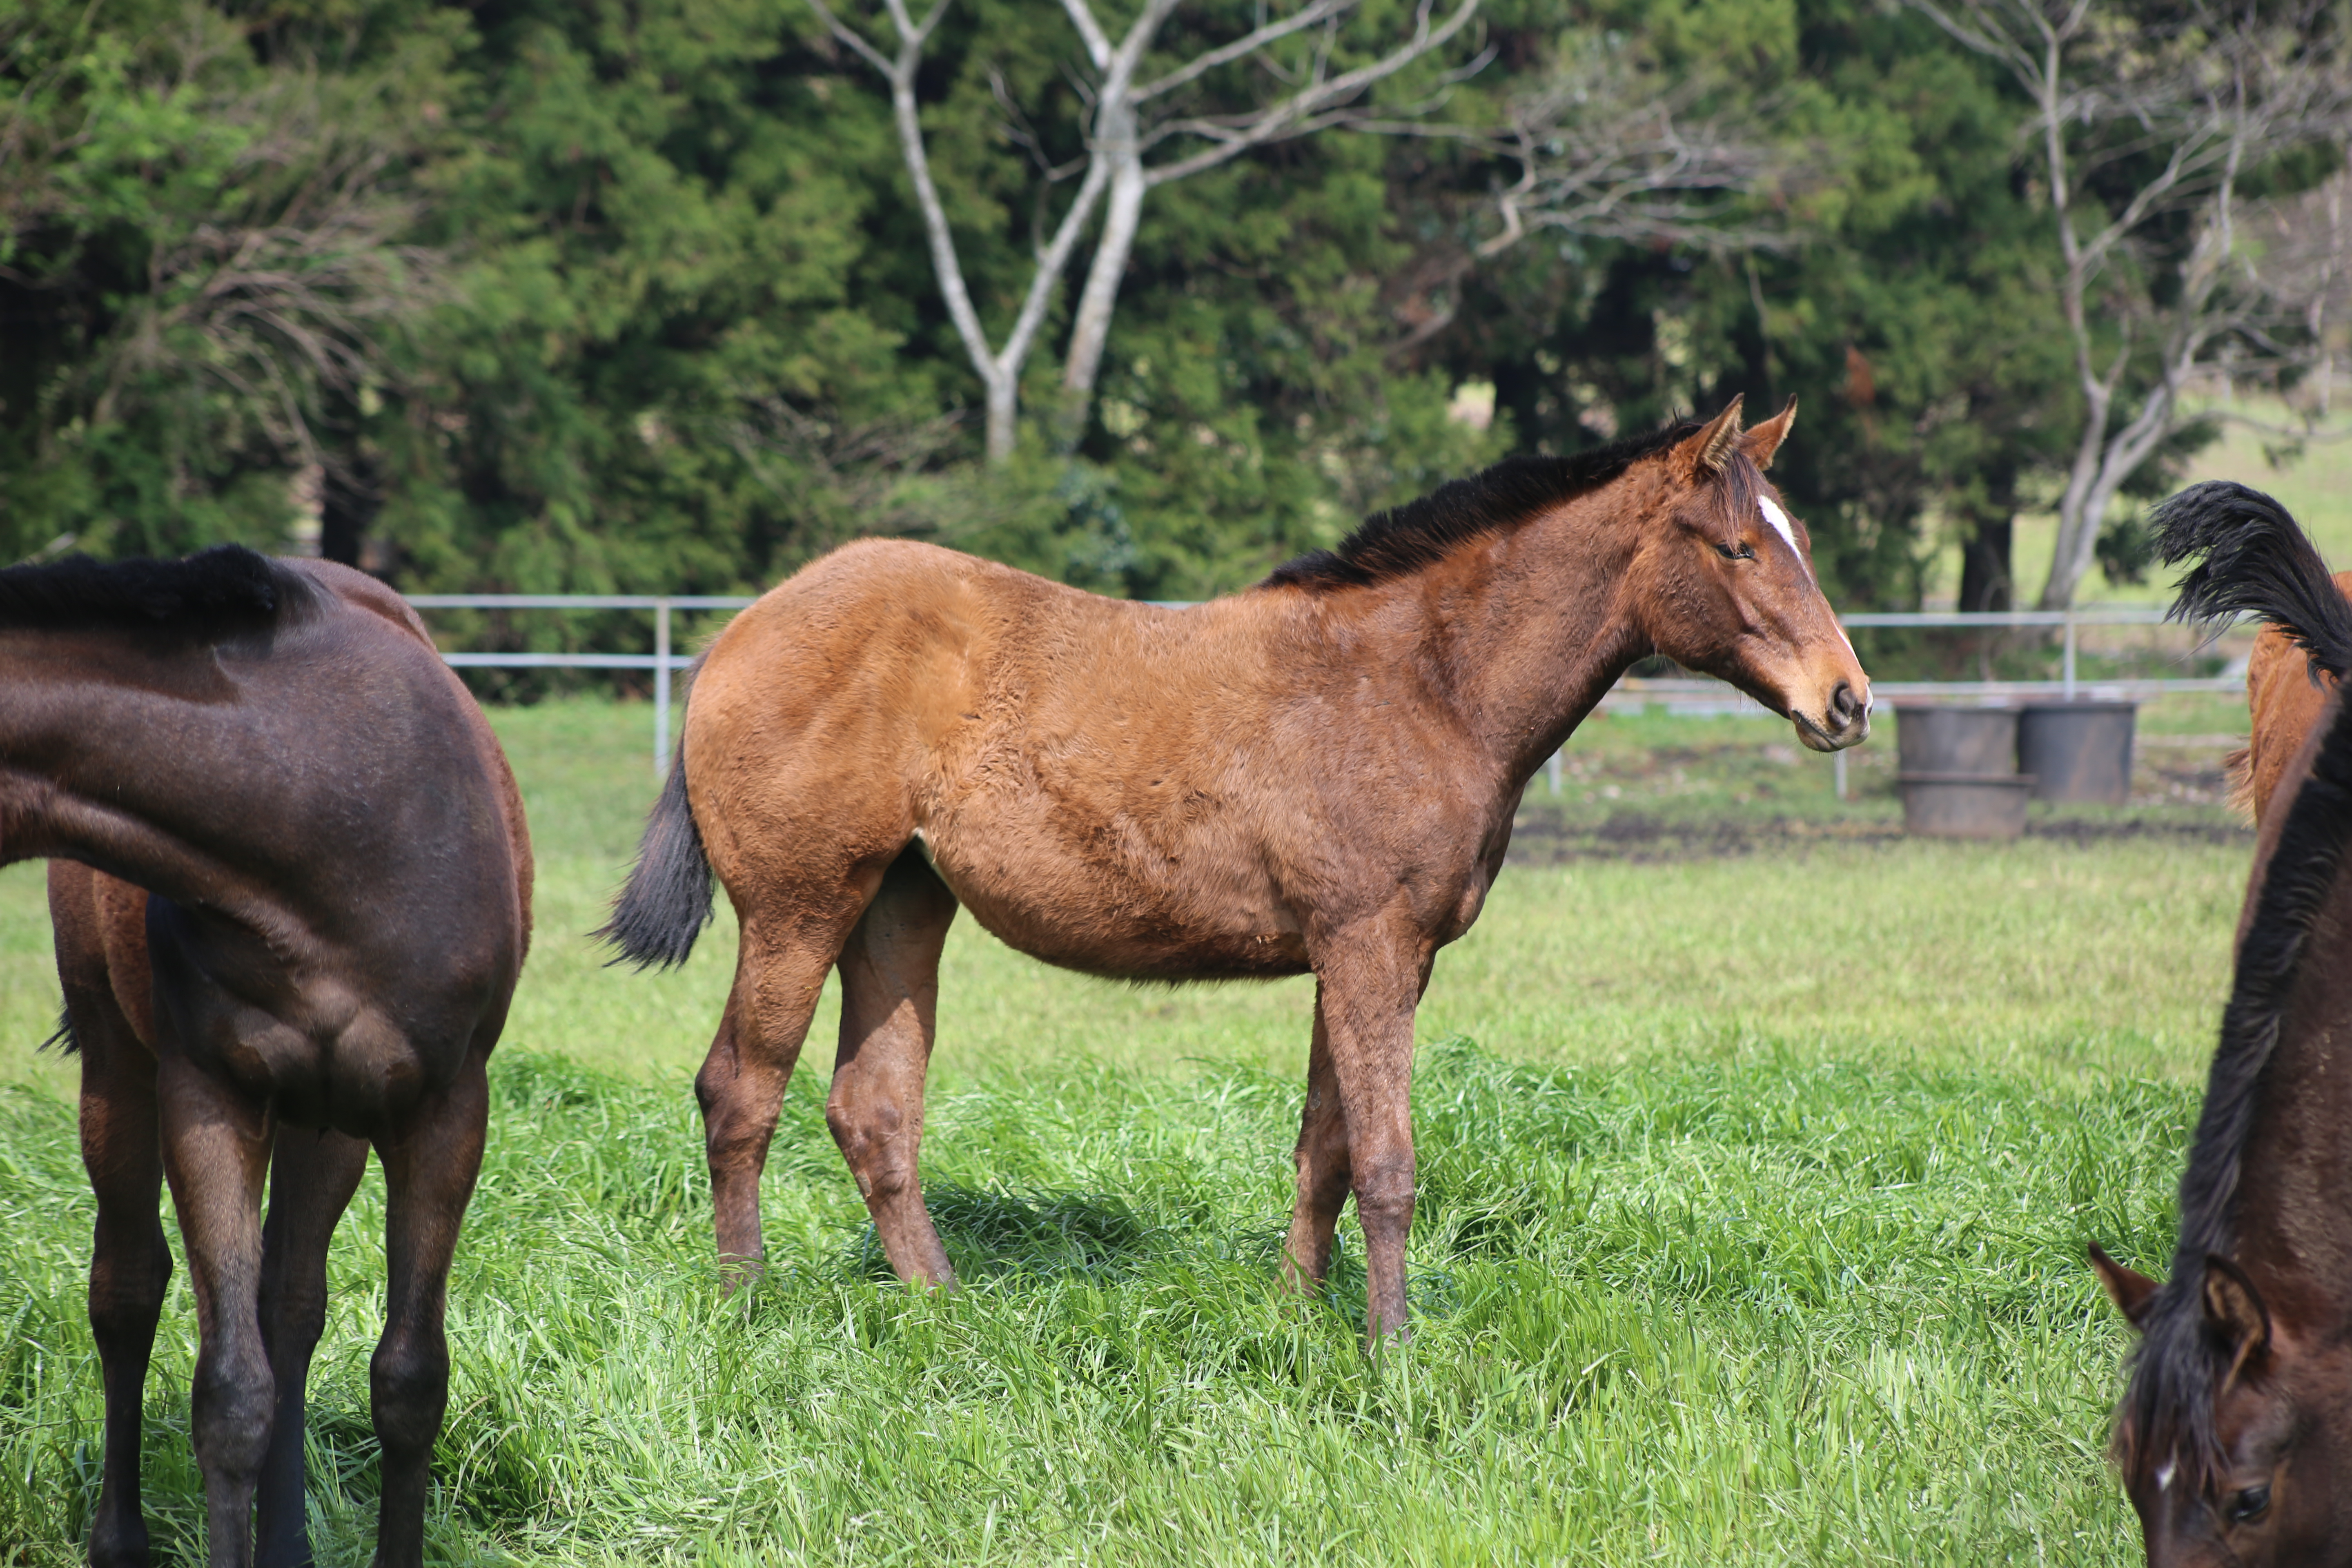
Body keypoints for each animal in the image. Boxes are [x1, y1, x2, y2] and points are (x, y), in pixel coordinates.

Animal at [0, 552, 531, 1568]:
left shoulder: (444, 1110)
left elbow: (410, 1379)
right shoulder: (209, 1097)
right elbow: (230, 1394)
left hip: (329, 1120)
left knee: (292, 1304)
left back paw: (287, 1543)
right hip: (118, 1068)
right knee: (127, 1289)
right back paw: (121, 1542)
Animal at [607, 399, 1872, 1345]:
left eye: (1798, 538)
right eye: (1737, 546)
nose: (1847, 702)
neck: (1422, 684)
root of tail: (734, 634)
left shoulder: (1368, 955)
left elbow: (1324, 1148)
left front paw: (1296, 1321)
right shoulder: (1367, 944)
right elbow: (1387, 1158)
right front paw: (1392, 1351)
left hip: (899, 906)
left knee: (872, 1111)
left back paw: (945, 1313)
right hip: (798, 908)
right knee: (740, 1092)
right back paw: (746, 1311)